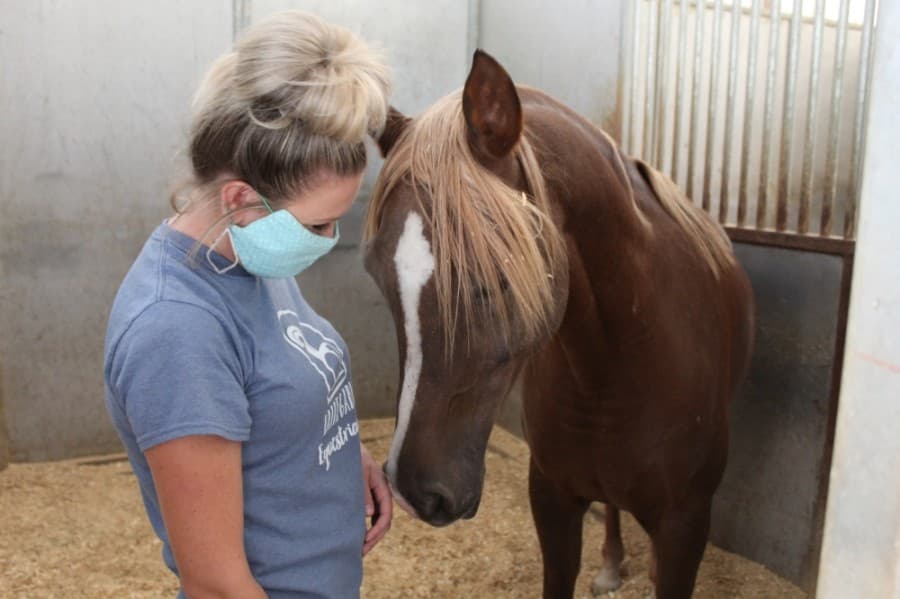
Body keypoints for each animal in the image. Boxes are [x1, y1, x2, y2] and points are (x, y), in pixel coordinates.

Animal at [362, 50, 755, 599]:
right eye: (377, 273)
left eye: (495, 277)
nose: (413, 490)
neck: (616, 365)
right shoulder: (552, 500)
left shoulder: (686, 523)